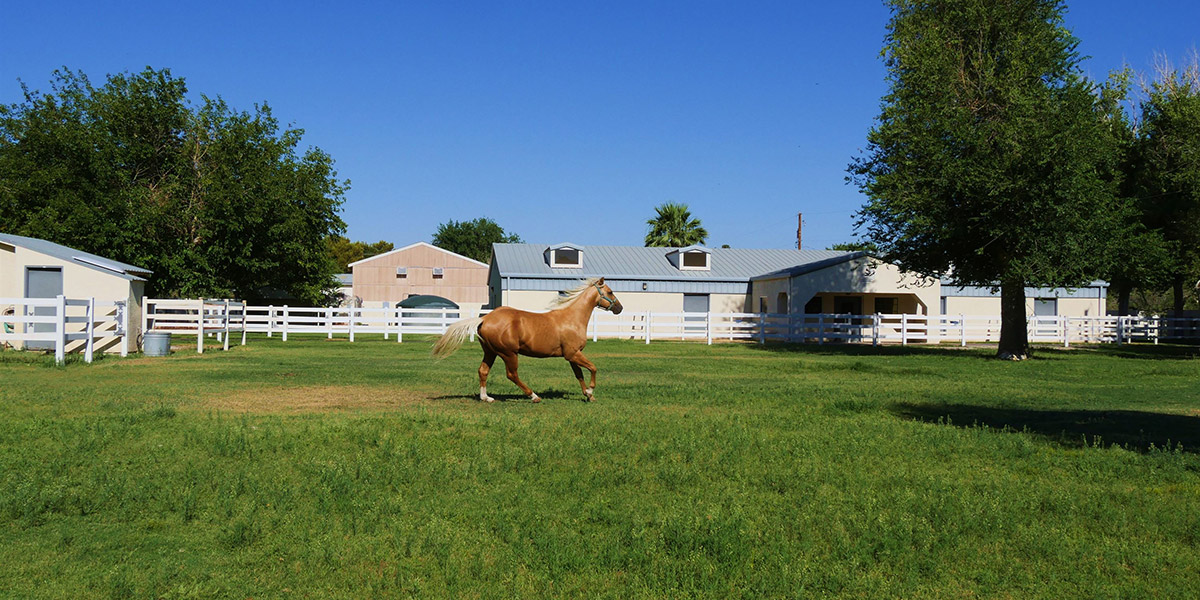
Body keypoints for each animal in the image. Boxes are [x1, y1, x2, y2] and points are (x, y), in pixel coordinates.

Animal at [432, 276, 624, 403]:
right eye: (610, 291)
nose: (620, 308)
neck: (572, 319)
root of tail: (485, 318)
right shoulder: (572, 354)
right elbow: (593, 368)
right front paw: (591, 390)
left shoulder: (572, 355)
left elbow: (579, 375)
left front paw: (588, 395)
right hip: (508, 353)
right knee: (512, 374)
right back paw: (534, 396)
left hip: (490, 352)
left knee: (483, 371)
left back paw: (487, 398)